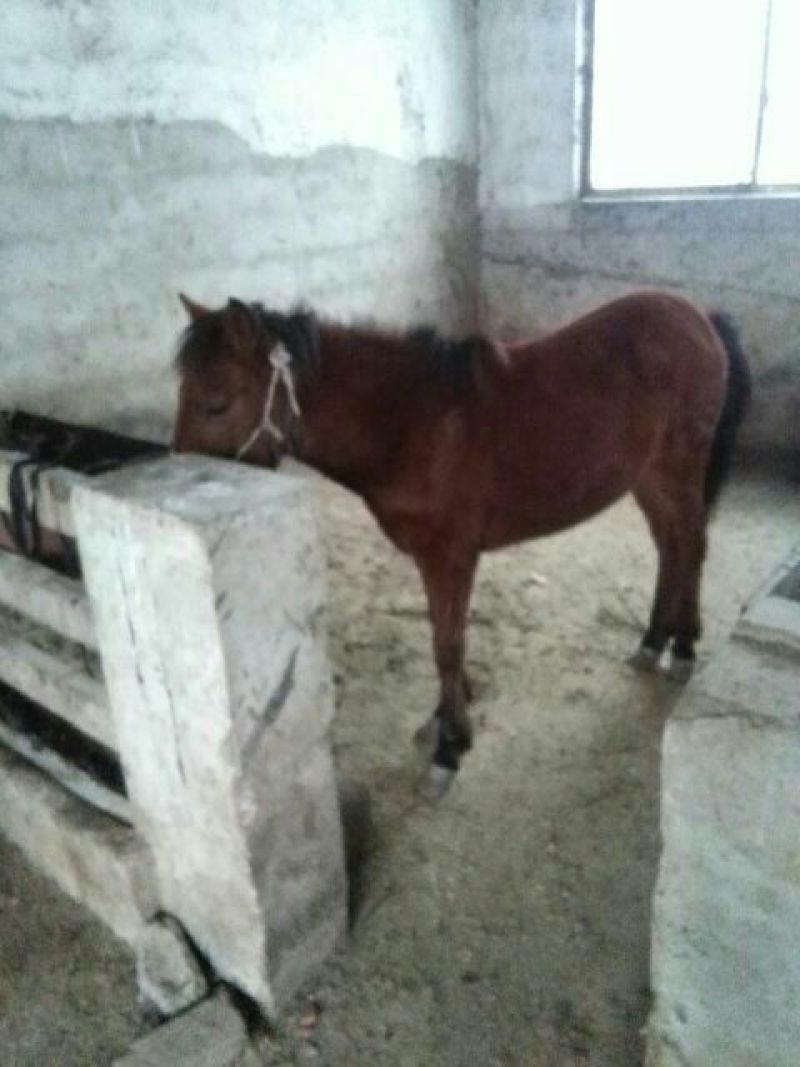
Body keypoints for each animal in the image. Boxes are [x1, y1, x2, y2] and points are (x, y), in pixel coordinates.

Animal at [172, 290, 751, 793]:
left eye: (215, 404)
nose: (177, 484)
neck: (411, 425)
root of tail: (698, 316)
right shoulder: (434, 560)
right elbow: (442, 636)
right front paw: (444, 720)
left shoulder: (450, 557)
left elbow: (447, 646)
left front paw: (450, 748)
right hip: (647, 476)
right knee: (670, 547)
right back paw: (653, 641)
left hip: (679, 466)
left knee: (691, 545)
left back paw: (683, 648)